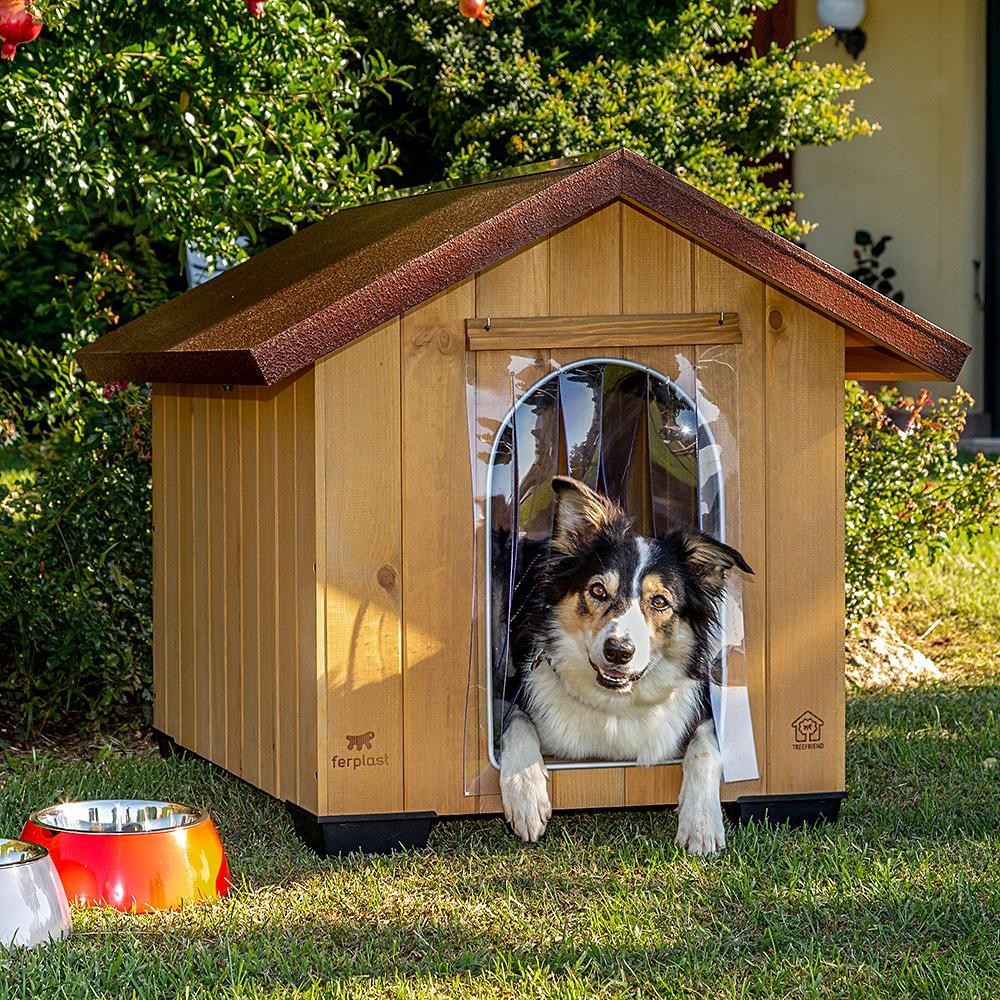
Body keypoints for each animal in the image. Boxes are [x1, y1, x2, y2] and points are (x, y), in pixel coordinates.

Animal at [500, 474, 752, 852]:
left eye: (660, 601)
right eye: (598, 590)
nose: (618, 651)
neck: (616, 704)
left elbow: (707, 746)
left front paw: (701, 822)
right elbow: (516, 722)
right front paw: (525, 791)